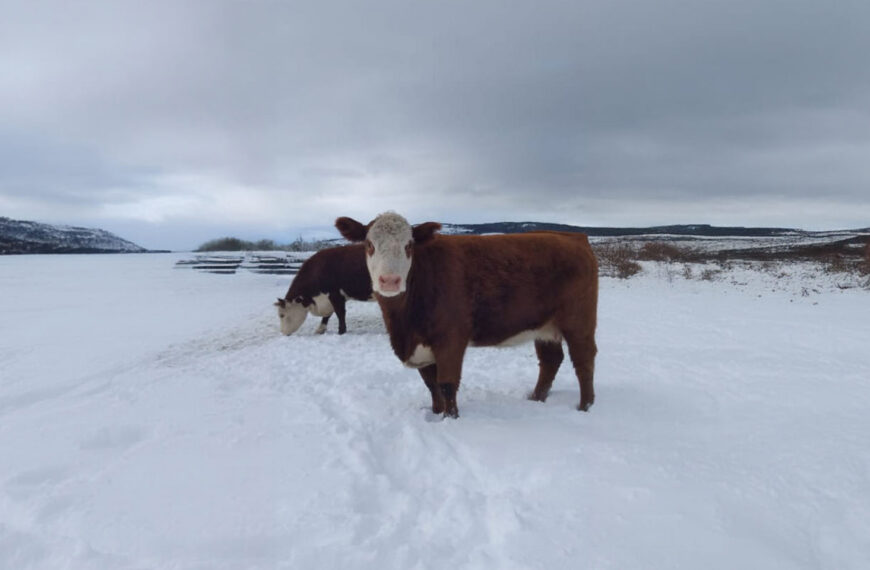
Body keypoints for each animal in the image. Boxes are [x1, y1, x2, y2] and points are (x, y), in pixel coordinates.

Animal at [334, 211, 600, 414]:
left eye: (408, 246)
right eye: (369, 245)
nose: (389, 281)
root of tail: (576, 237)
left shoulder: (451, 338)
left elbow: (447, 385)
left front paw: (450, 418)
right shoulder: (420, 346)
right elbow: (431, 385)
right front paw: (436, 414)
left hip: (579, 322)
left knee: (583, 360)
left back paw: (585, 407)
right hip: (544, 327)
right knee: (550, 360)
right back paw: (536, 400)